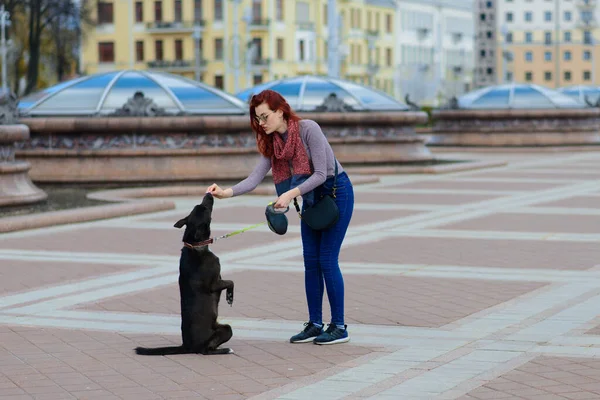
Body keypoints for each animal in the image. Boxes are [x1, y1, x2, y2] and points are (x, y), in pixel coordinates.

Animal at [135, 194, 234, 356]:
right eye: (204, 209)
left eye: (199, 206)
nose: (209, 194)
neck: (195, 246)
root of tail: (186, 346)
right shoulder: (214, 285)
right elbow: (231, 281)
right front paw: (230, 296)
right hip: (222, 333)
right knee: (206, 350)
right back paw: (225, 350)